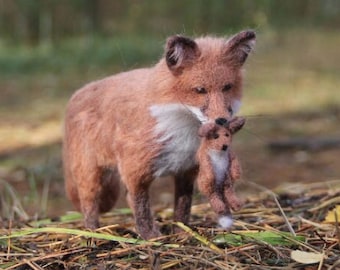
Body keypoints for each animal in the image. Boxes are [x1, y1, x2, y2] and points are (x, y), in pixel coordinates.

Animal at [63, 30, 255, 239]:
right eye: (200, 90)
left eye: (227, 87)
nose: (222, 120)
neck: (183, 133)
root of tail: (75, 95)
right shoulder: (134, 171)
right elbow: (141, 210)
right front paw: (152, 238)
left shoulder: (186, 170)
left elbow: (183, 209)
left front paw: (181, 233)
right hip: (90, 175)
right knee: (90, 205)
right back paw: (93, 233)